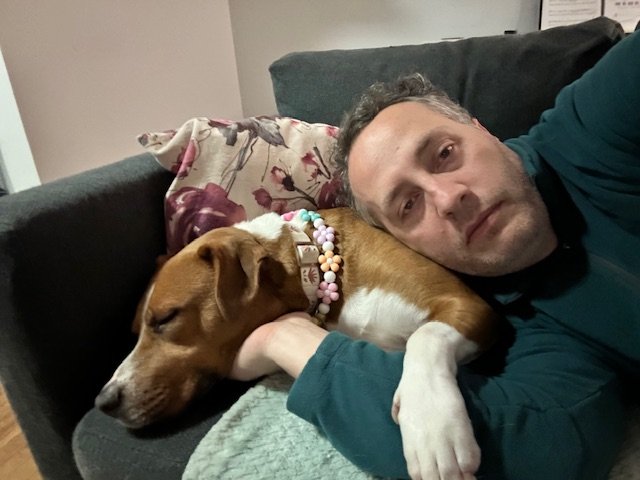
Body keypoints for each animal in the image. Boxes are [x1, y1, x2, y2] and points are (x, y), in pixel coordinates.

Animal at [96, 207, 499, 477]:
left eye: (166, 318)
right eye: (134, 330)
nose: (103, 401)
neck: (312, 266)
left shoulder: (466, 304)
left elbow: (424, 337)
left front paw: (433, 428)